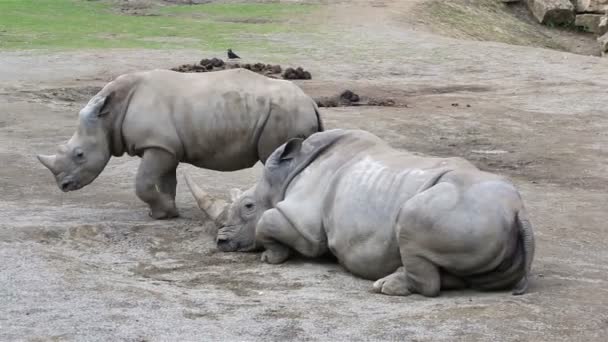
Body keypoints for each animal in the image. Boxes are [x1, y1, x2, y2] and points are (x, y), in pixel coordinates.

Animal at [38, 69, 324, 219]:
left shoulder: (156, 145)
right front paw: (166, 213)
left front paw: (162, 212)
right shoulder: (166, 147)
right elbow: (166, 181)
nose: (63, 186)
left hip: (285, 113)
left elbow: (142, 183)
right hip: (287, 112)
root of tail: (311, 102)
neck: (109, 115)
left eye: (79, 154)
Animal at [186, 128, 536, 296]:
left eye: (247, 206)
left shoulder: (303, 224)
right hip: (480, 218)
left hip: (458, 210)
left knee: (410, 221)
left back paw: (385, 287)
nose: (221, 242)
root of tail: (517, 210)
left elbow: (268, 221)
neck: (283, 176)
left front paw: (270, 257)